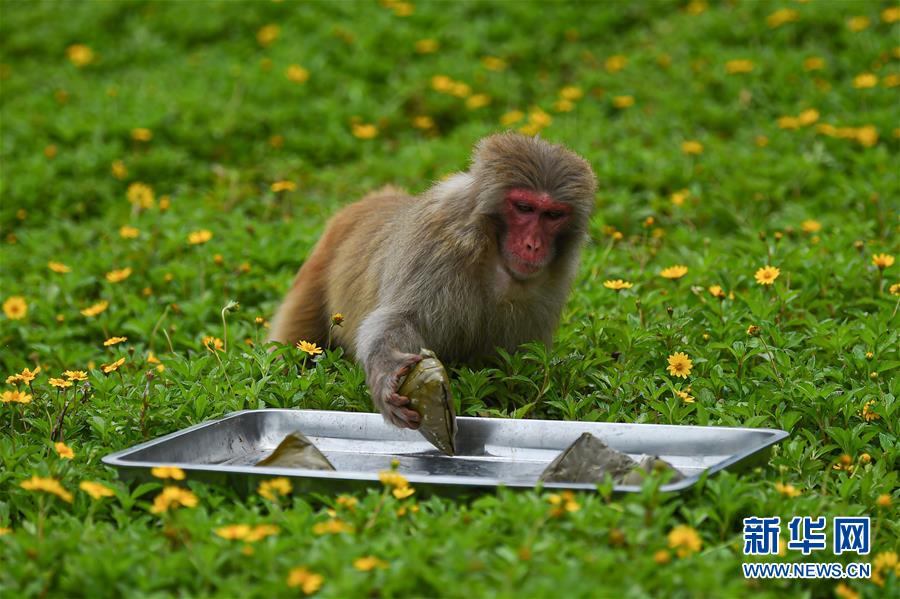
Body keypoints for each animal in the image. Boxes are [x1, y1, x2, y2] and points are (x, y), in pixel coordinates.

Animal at [270, 132, 600, 432]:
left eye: (553, 214)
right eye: (524, 208)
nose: (533, 245)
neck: (493, 253)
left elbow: (517, 371)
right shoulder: (439, 240)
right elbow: (399, 318)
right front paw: (388, 372)